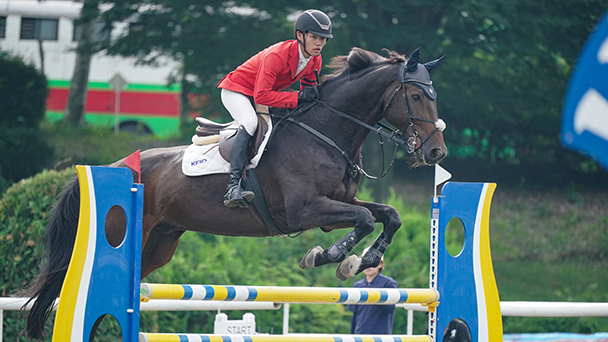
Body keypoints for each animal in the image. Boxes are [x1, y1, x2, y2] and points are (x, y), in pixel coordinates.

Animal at [23, 46, 446, 340]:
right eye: (416, 96)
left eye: (433, 94)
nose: (436, 153)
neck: (326, 132)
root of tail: (112, 168)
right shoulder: (306, 210)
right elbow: (362, 219)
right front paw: (334, 258)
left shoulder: (338, 203)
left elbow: (387, 214)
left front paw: (364, 258)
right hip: (126, 235)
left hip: (158, 245)